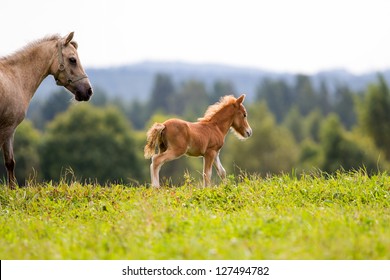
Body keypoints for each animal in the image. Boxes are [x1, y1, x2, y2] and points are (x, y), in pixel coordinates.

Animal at [0, 32, 92, 188]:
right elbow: (8, 162)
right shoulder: (7, 129)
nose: (88, 91)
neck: (15, 77)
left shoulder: (9, 132)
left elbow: (10, 163)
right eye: (72, 60)